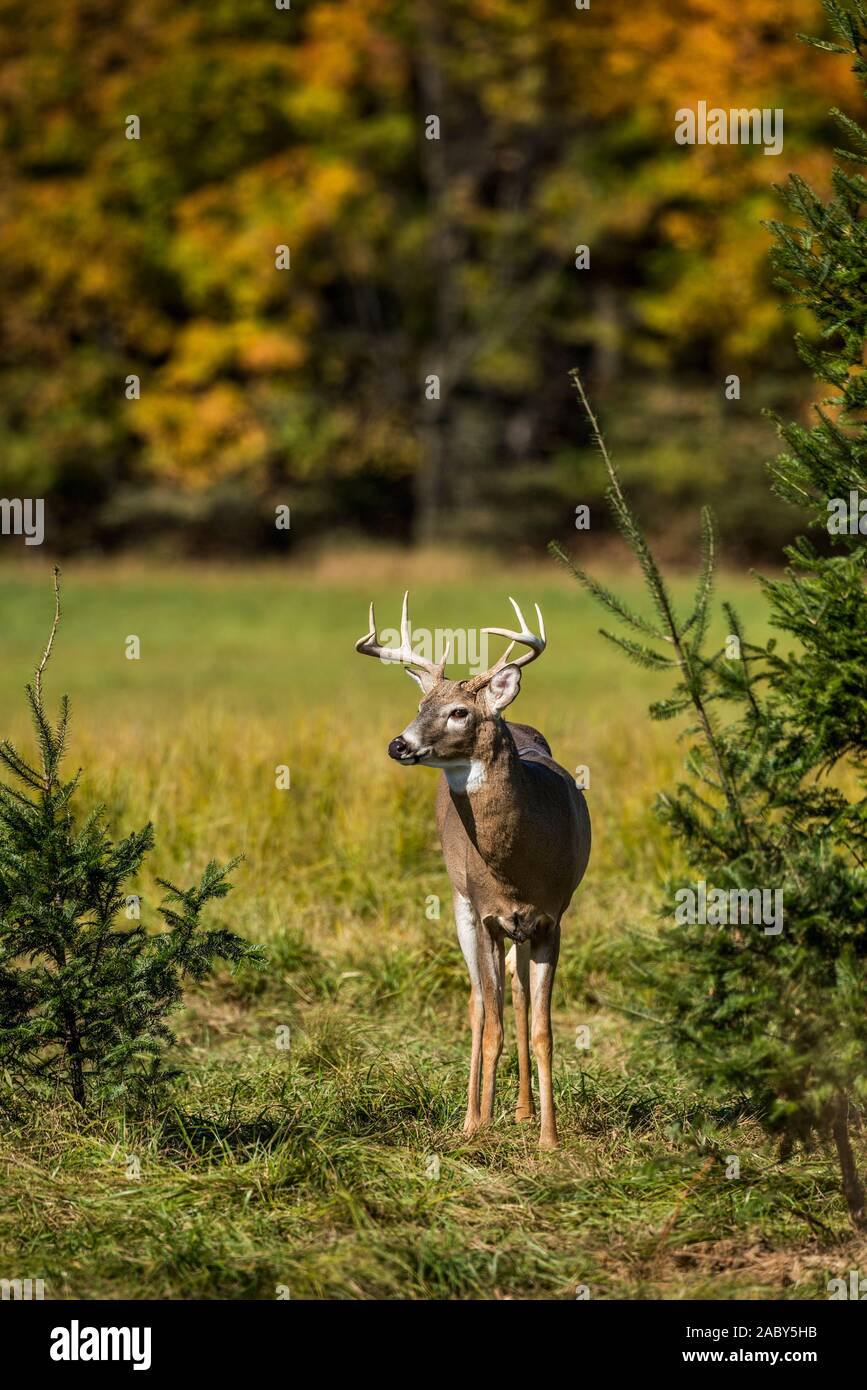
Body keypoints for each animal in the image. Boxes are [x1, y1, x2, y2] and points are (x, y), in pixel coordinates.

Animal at [352, 592, 589, 1145]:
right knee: (481, 1001)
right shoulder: (484, 913)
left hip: (518, 930)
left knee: (515, 994)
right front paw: (480, 1125)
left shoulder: (551, 917)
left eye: (459, 711)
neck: (516, 869)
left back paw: (521, 1110)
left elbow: (542, 1028)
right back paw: (472, 1115)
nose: (398, 744)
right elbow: (492, 1021)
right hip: (460, 902)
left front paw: (548, 1138)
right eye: (420, 707)